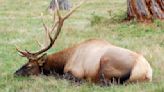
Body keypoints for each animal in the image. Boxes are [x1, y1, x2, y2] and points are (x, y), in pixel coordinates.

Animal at [14, 0, 153, 85]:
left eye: (29, 66)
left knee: (106, 82)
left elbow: (62, 77)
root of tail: (147, 72)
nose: (15, 73)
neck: (65, 60)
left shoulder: (75, 71)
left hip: (107, 63)